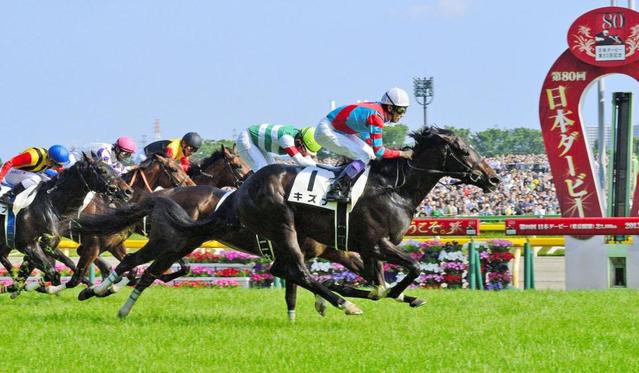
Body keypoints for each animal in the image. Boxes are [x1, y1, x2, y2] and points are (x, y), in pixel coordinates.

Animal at [0, 153, 132, 294]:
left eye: (112, 169)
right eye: (102, 170)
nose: (127, 191)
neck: (48, 203)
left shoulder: (47, 244)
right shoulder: (27, 244)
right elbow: (52, 273)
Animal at [74, 125, 500, 316]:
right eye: (463, 150)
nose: (494, 178)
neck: (392, 187)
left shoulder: (355, 247)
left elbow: (380, 282)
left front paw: (399, 295)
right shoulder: (373, 242)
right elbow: (406, 270)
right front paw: (343, 296)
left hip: (189, 240)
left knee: (146, 270)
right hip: (270, 227)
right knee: (137, 265)